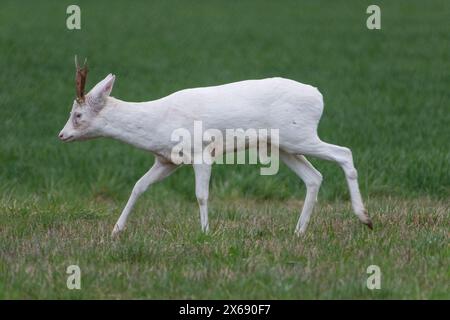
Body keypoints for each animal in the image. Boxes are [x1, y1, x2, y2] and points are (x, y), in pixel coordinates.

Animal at [59, 58, 372, 238]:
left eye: (78, 115)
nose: (62, 135)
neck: (157, 121)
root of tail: (319, 96)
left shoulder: (201, 152)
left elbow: (201, 195)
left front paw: (206, 233)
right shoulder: (166, 161)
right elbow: (138, 187)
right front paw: (115, 231)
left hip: (300, 134)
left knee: (344, 153)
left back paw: (364, 218)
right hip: (282, 145)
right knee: (314, 177)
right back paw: (299, 231)